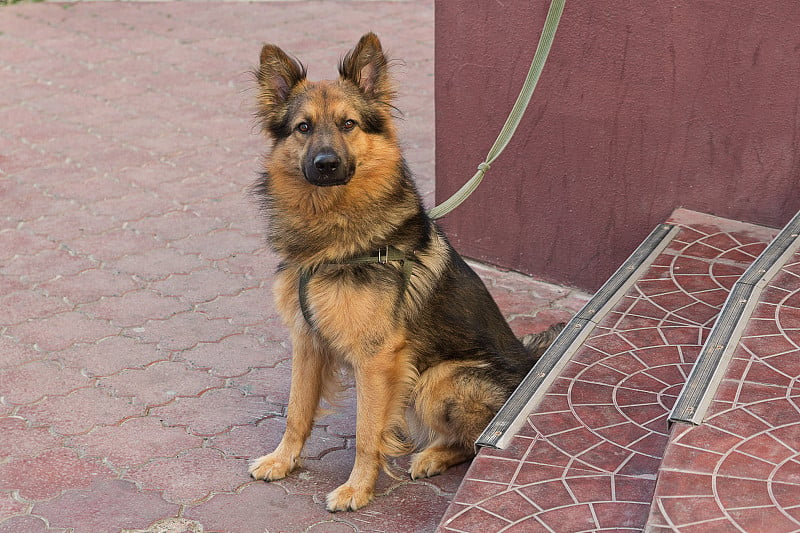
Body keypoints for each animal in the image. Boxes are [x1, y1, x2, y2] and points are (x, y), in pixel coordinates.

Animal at [250, 33, 564, 512]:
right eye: (303, 127)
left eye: (348, 124)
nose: (325, 163)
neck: (334, 235)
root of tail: (531, 363)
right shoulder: (308, 342)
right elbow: (296, 412)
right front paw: (283, 460)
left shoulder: (377, 357)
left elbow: (367, 433)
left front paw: (357, 489)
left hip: (437, 379)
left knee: (473, 443)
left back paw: (433, 455)